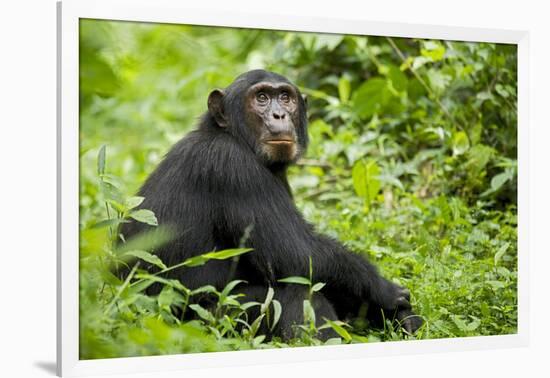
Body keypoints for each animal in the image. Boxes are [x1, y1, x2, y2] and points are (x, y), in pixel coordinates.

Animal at [121, 69, 422, 342]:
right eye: (262, 98)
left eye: (285, 98)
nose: (279, 115)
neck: (236, 138)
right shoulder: (234, 169)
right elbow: (297, 252)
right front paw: (386, 291)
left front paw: (402, 317)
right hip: (205, 323)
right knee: (297, 294)